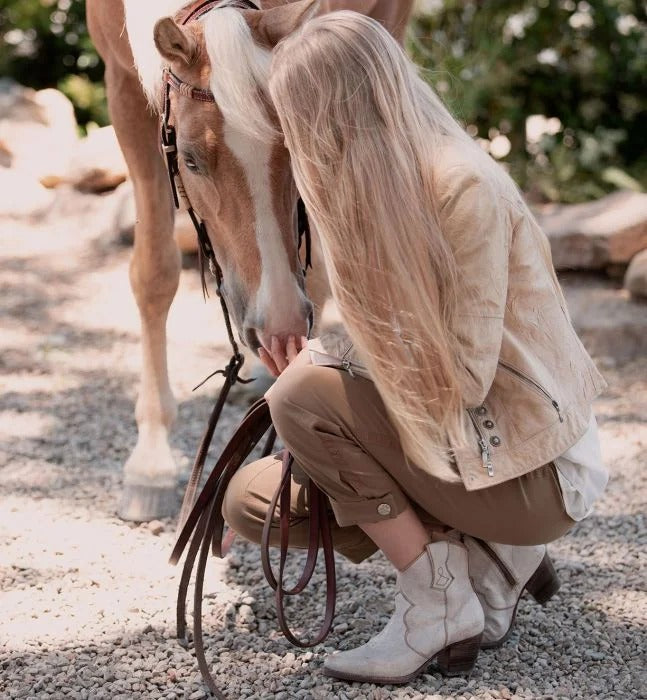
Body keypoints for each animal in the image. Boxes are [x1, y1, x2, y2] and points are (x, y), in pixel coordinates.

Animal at [86, 0, 412, 524]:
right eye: (191, 160)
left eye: (290, 150)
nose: (278, 324)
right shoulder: (123, 84)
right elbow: (154, 272)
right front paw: (151, 461)